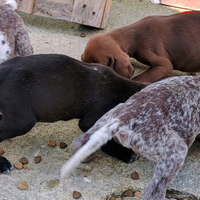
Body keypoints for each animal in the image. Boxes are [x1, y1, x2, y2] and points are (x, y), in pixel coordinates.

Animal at [0, 53, 145, 173]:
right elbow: (105, 141)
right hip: (22, 122)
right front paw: (124, 154)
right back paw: (2, 164)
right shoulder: (92, 120)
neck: (122, 91)